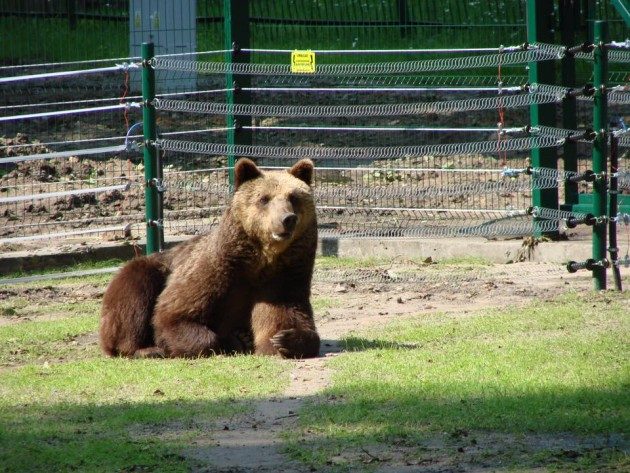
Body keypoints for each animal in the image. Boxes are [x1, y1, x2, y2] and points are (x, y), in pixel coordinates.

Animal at [101, 158, 324, 358]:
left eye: (293, 197)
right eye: (264, 198)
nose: (287, 219)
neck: (259, 260)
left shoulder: (283, 277)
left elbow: (284, 316)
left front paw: (285, 339)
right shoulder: (215, 270)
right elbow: (174, 314)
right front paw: (230, 340)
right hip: (145, 270)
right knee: (133, 300)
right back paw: (145, 349)